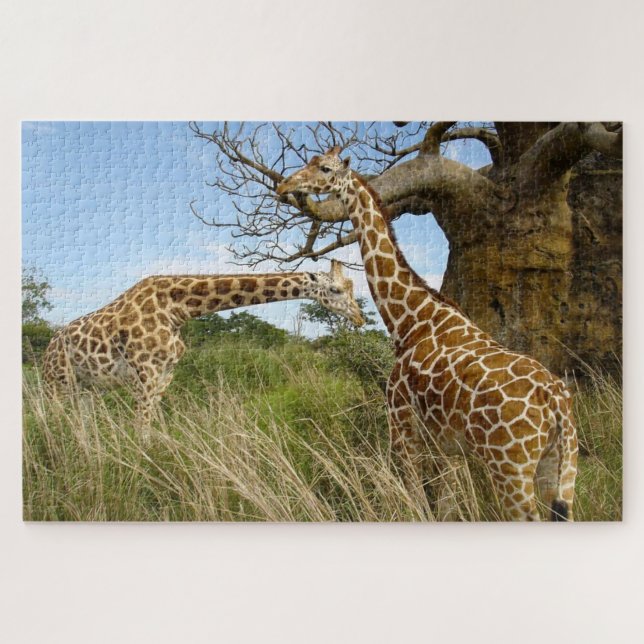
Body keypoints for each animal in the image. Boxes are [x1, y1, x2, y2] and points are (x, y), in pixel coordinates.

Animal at [42, 262, 364, 439]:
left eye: (351, 286)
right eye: (335, 290)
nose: (360, 317)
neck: (177, 310)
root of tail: (48, 349)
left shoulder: (165, 374)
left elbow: (153, 425)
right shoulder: (145, 372)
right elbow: (141, 428)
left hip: (87, 387)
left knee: (83, 424)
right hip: (56, 384)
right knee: (53, 420)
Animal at [277, 147, 578, 521]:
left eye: (324, 169)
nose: (285, 185)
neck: (410, 318)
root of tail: (556, 402)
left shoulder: (402, 425)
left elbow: (416, 499)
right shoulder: (447, 444)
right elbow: (447, 506)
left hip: (510, 467)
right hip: (559, 466)